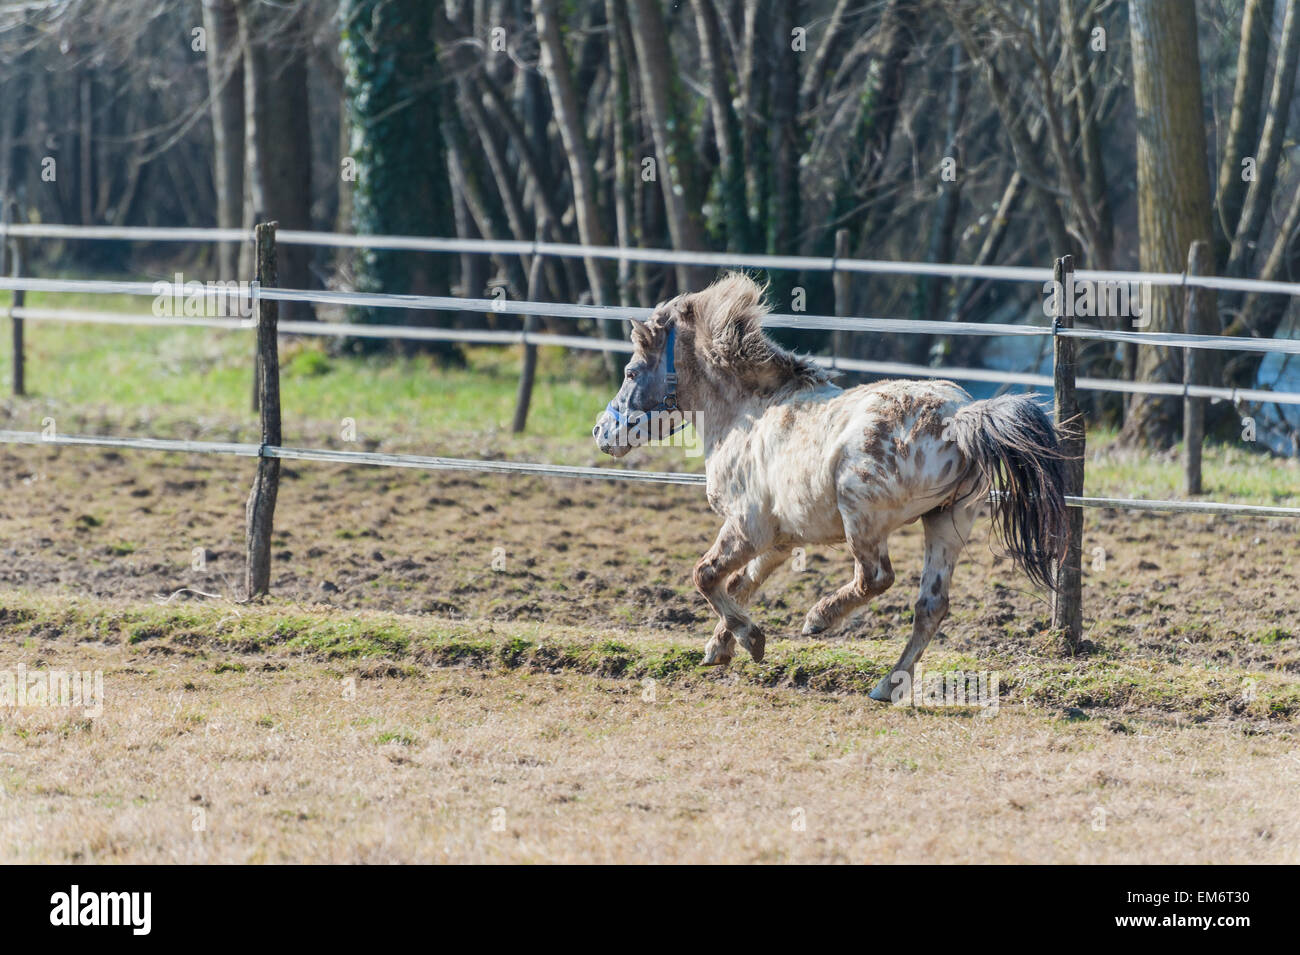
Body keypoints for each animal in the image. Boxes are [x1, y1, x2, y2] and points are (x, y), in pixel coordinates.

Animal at [592, 272, 1069, 702]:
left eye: (631, 371)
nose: (601, 432)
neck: (746, 413)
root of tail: (958, 416)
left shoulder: (746, 528)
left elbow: (706, 576)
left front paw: (750, 639)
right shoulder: (777, 542)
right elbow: (739, 585)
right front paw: (721, 647)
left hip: (862, 516)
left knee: (876, 578)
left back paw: (819, 618)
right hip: (947, 521)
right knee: (930, 606)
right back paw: (887, 686)